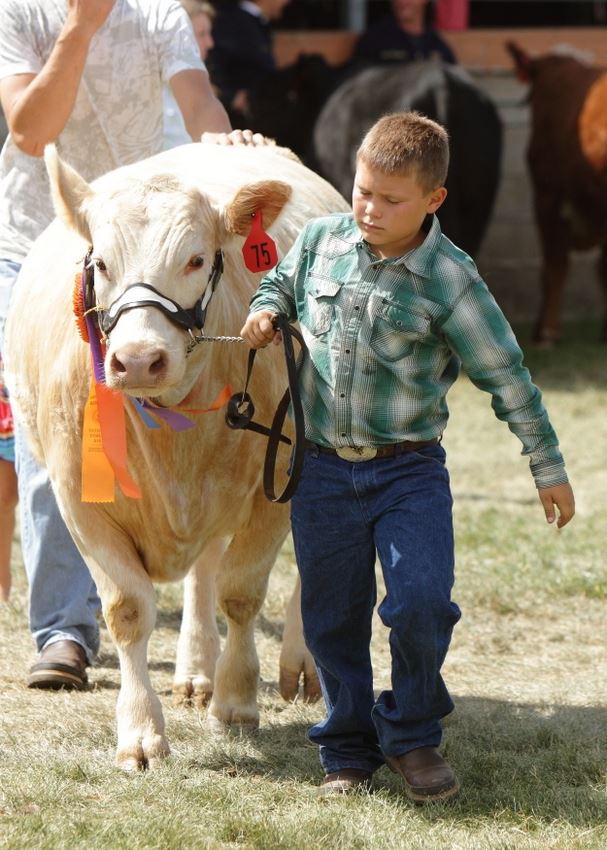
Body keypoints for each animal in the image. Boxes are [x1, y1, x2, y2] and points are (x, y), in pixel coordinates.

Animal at [4, 142, 349, 770]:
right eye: (101, 264)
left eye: (195, 259)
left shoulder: (276, 485)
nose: (139, 359)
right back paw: (195, 670)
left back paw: (299, 665)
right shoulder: (78, 499)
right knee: (203, 568)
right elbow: (128, 609)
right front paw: (140, 731)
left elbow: (241, 593)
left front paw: (236, 700)